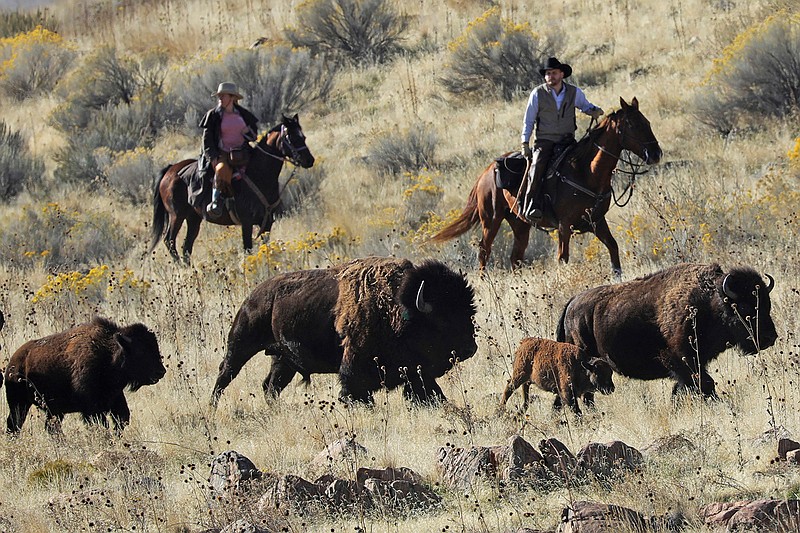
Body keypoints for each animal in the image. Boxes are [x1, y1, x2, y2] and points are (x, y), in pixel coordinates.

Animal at [5, 316, 166, 434]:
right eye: (141, 351)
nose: (161, 371)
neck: (108, 353)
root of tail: (13, 362)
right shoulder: (92, 407)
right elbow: (102, 422)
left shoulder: (115, 397)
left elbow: (122, 418)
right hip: (19, 403)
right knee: (15, 423)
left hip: (53, 410)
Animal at [211, 256, 478, 406]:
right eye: (443, 320)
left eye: (469, 312)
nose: (470, 349)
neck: (397, 305)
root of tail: (254, 294)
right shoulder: (354, 365)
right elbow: (355, 391)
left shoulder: (416, 372)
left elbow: (429, 391)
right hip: (241, 342)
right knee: (226, 372)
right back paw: (212, 406)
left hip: (282, 360)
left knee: (270, 386)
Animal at [557, 263, 777, 398]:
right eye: (745, 307)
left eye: (767, 304)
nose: (770, 338)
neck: (709, 302)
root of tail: (571, 304)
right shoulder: (681, 359)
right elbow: (703, 383)